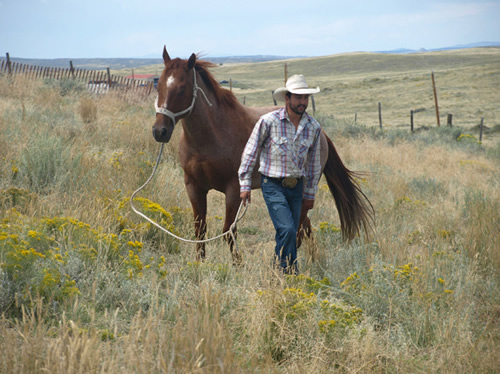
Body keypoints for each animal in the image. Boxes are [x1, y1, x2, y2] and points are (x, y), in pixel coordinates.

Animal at [152, 46, 376, 262]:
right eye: (159, 85)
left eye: (182, 88)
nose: (159, 131)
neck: (212, 136)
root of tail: (322, 133)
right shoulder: (194, 186)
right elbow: (200, 230)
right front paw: (199, 265)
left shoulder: (234, 190)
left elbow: (229, 232)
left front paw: (238, 266)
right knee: (306, 227)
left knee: (299, 228)